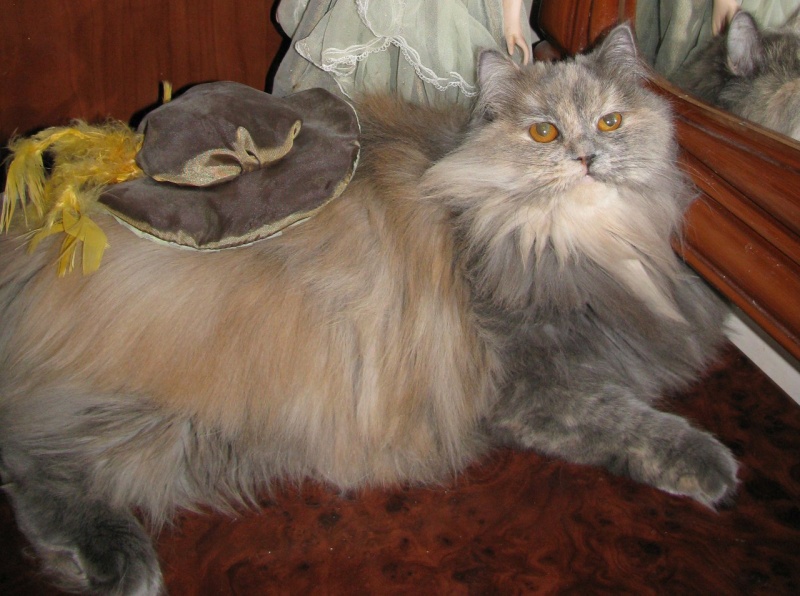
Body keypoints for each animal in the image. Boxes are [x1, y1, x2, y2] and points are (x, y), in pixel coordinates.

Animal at [0, 25, 737, 595]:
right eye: (543, 131)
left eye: (611, 121)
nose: (587, 158)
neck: (573, 239)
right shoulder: (536, 383)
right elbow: (632, 423)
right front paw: (712, 464)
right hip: (176, 409)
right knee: (32, 455)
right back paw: (118, 562)